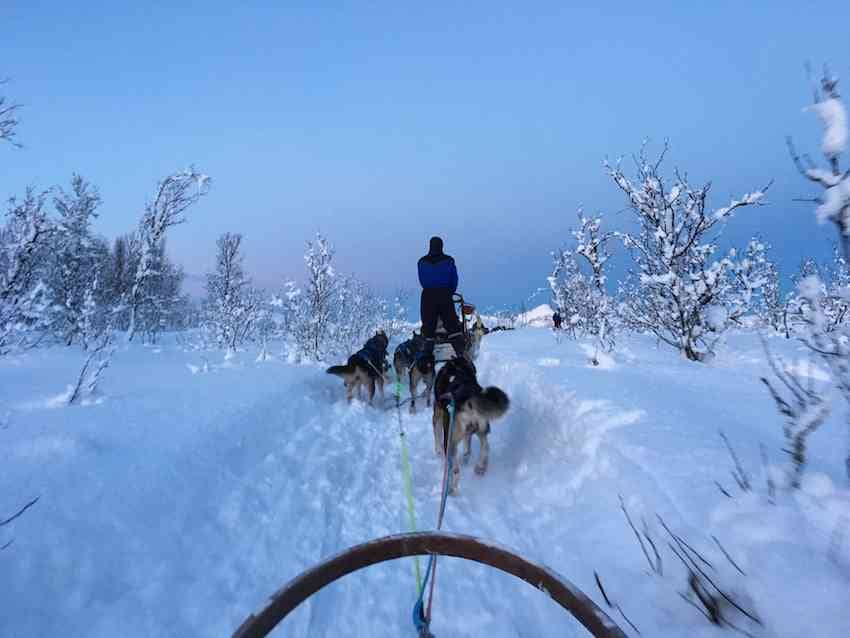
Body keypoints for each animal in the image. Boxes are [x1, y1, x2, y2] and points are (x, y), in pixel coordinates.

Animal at [434, 360, 506, 496]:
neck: (457, 368)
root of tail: (469, 398)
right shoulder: (468, 434)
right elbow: (468, 449)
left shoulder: (437, 416)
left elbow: (437, 437)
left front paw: (438, 452)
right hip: (482, 429)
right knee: (485, 447)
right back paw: (480, 467)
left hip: (450, 441)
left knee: (454, 470)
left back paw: (451, 489)